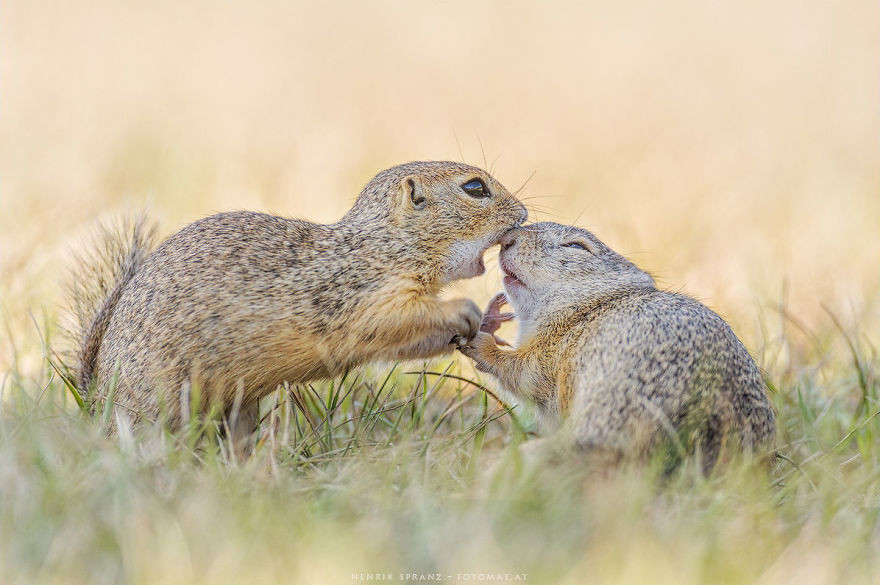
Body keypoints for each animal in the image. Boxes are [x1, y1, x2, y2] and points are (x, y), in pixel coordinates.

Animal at [72, 160, 524, 438]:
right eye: (474, 188)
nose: (522, 214)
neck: (385, 244)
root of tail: (94, 401)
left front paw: (489, 319)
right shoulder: (357, 295)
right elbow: (390, 322)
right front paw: (464, 308)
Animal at [458, 220, 772, 470]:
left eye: (576, 245)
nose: (507, 239)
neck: (591, 306)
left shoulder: (552, 354)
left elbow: (522, 373)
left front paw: (482, 341)